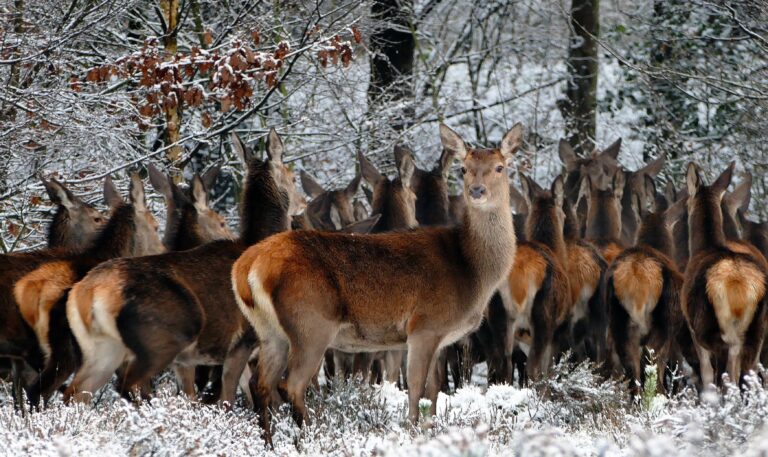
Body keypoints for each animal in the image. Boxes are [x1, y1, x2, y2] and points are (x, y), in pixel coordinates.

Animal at [63, 129, 303, 406]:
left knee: (75, 393)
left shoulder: (189, 361)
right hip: (164, 336)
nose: (303, 202)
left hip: (101, 348)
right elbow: (228, 399)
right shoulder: (242, 341)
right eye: (293, 177)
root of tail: (90, 291)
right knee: (128, 385)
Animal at [233, 123, 522, 444]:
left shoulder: (440, 336)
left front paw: (432, 432)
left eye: (499, 167)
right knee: (290, 384)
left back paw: (270, 442)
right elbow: (415, 389)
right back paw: (311, 437)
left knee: (260, 384)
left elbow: (433, 392)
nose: (477, 191)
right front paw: (413, 433)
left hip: (270, 331)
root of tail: (247, 265)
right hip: (311, 322)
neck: (471, 270)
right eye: (464, 168)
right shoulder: (424, 325)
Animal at [606, 175, 687, 396]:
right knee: (651, 367)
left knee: (632, 372)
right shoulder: (672, 333)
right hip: (659, 324)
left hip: (619, 323)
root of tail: (636, 276)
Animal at [682, 162, 768, 388]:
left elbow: (706, 374)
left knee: (727, 378)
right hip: (757, 332)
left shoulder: (694, 331)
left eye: (686, 202)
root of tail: (741, 290)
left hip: (720, 332)